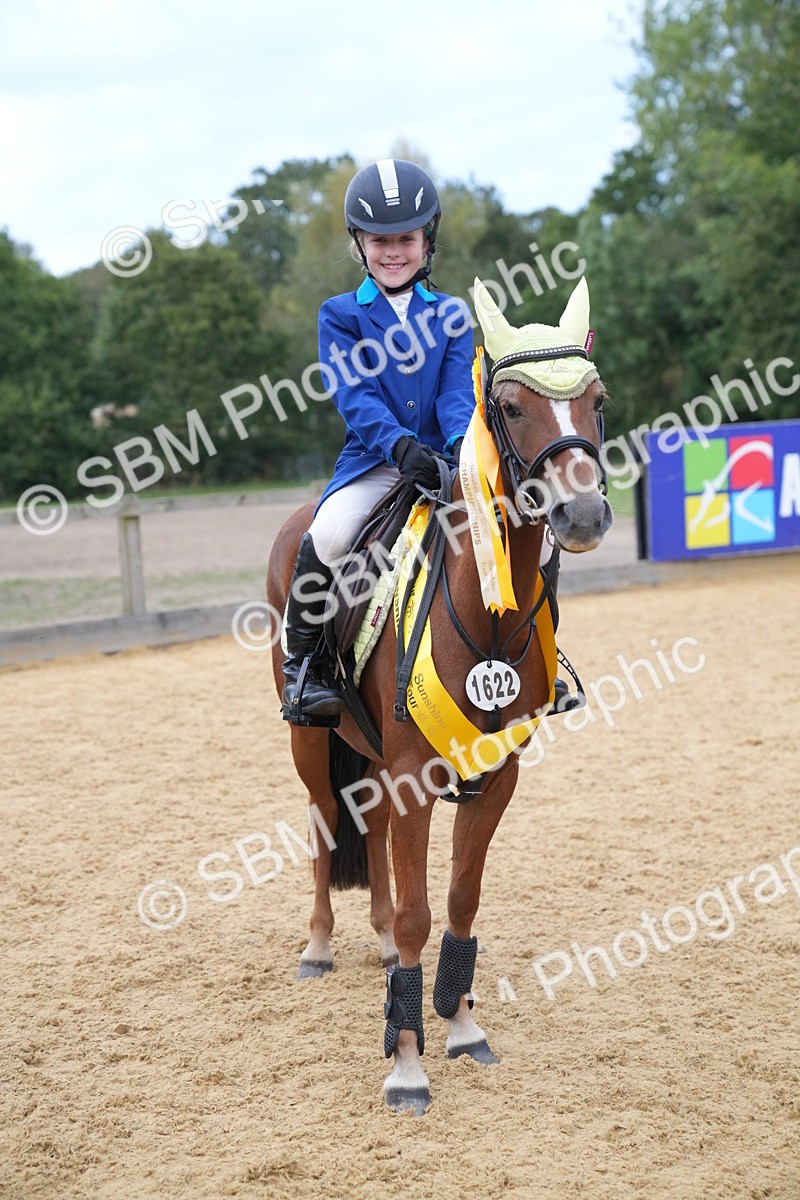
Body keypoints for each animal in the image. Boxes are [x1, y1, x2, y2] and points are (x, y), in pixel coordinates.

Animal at [266, 276, 613, 1115]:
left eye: (598, 401)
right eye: (510, 407)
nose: (583, 515)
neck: (484, 613)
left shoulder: (496, 775)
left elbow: (457, 902)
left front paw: (459, 1027)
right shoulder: (413, 775)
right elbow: (423, 913)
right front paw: (406, 1063)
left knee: (367, 832)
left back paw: (377, 939)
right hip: (308, 735)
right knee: (323, 820)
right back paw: (319, 945)